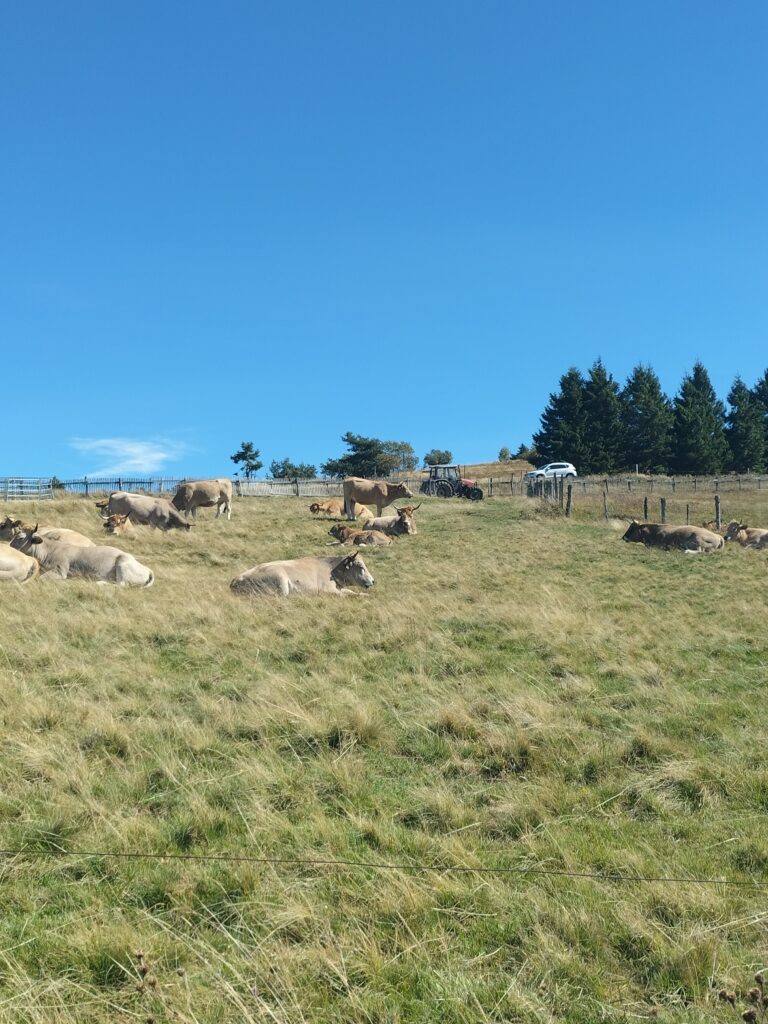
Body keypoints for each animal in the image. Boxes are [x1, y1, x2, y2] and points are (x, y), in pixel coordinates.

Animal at [11, 525, 154, 586]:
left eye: (20, 538)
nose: (9, 547)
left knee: (121, 584)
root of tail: (147, 569)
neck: (49, 551)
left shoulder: (60, 571)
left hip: (122, 563)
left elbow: (42, 578)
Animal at [230, 551, 374, 597]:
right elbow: (346, 595)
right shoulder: (327, 590)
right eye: (360, 566)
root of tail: (236, 579)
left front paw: (366, 595)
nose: (373, 580)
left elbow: (352, 592)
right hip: (280, 580)